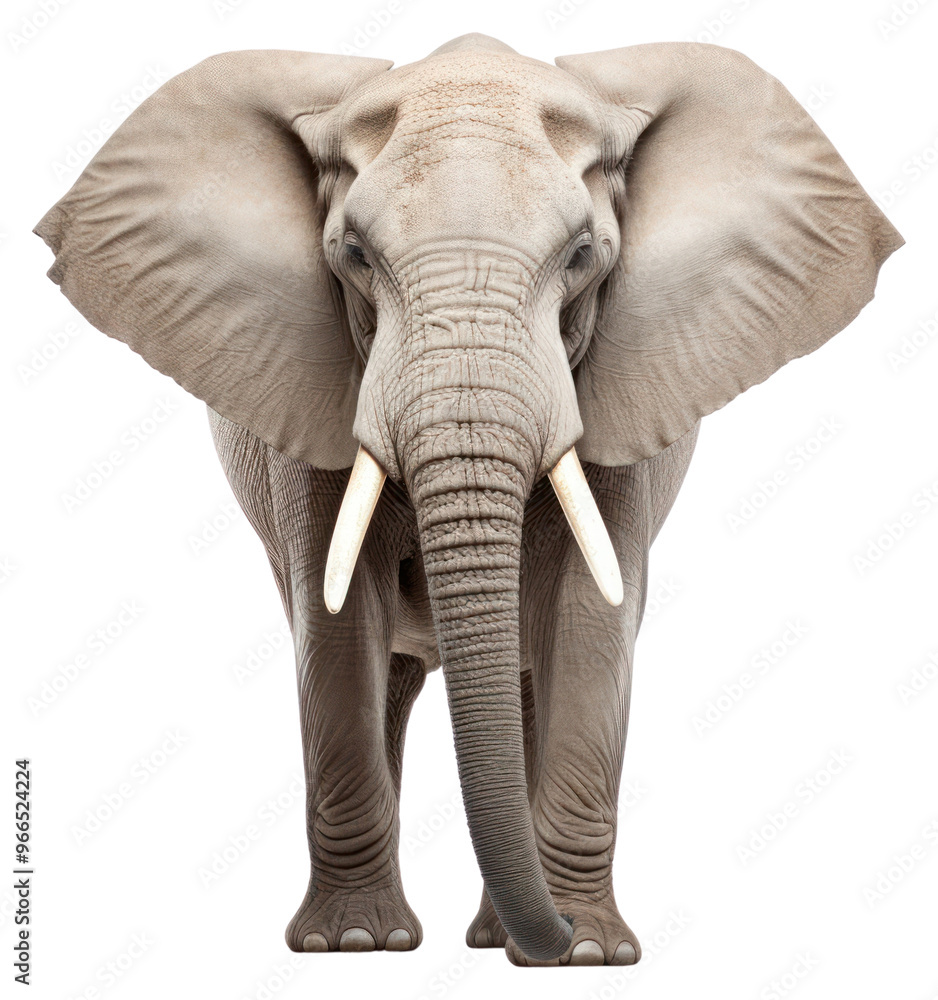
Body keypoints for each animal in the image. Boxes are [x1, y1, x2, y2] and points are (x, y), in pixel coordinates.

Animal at [35, 33, 901, 967]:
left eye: (583, 255)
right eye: (353, 255)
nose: (555, 938)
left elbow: (590, 616)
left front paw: (588, 955)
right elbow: (338, 623)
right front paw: (353, 943)